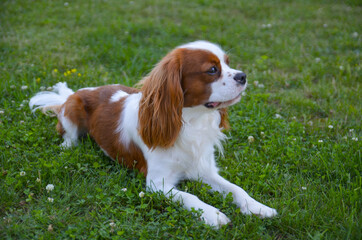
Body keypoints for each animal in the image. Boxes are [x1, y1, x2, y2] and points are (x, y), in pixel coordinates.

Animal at [30, 40, 278, 227]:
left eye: (228, 63)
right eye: (212, 70)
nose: (243, 76)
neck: (191, 120)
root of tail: (73, 94)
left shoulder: (204, 170)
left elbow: (236, 189)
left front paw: (258, 207)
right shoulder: (157, 184)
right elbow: (189, 196)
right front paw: (213, 214)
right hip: (72, 109)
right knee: (69, 135)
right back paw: (68, 146)